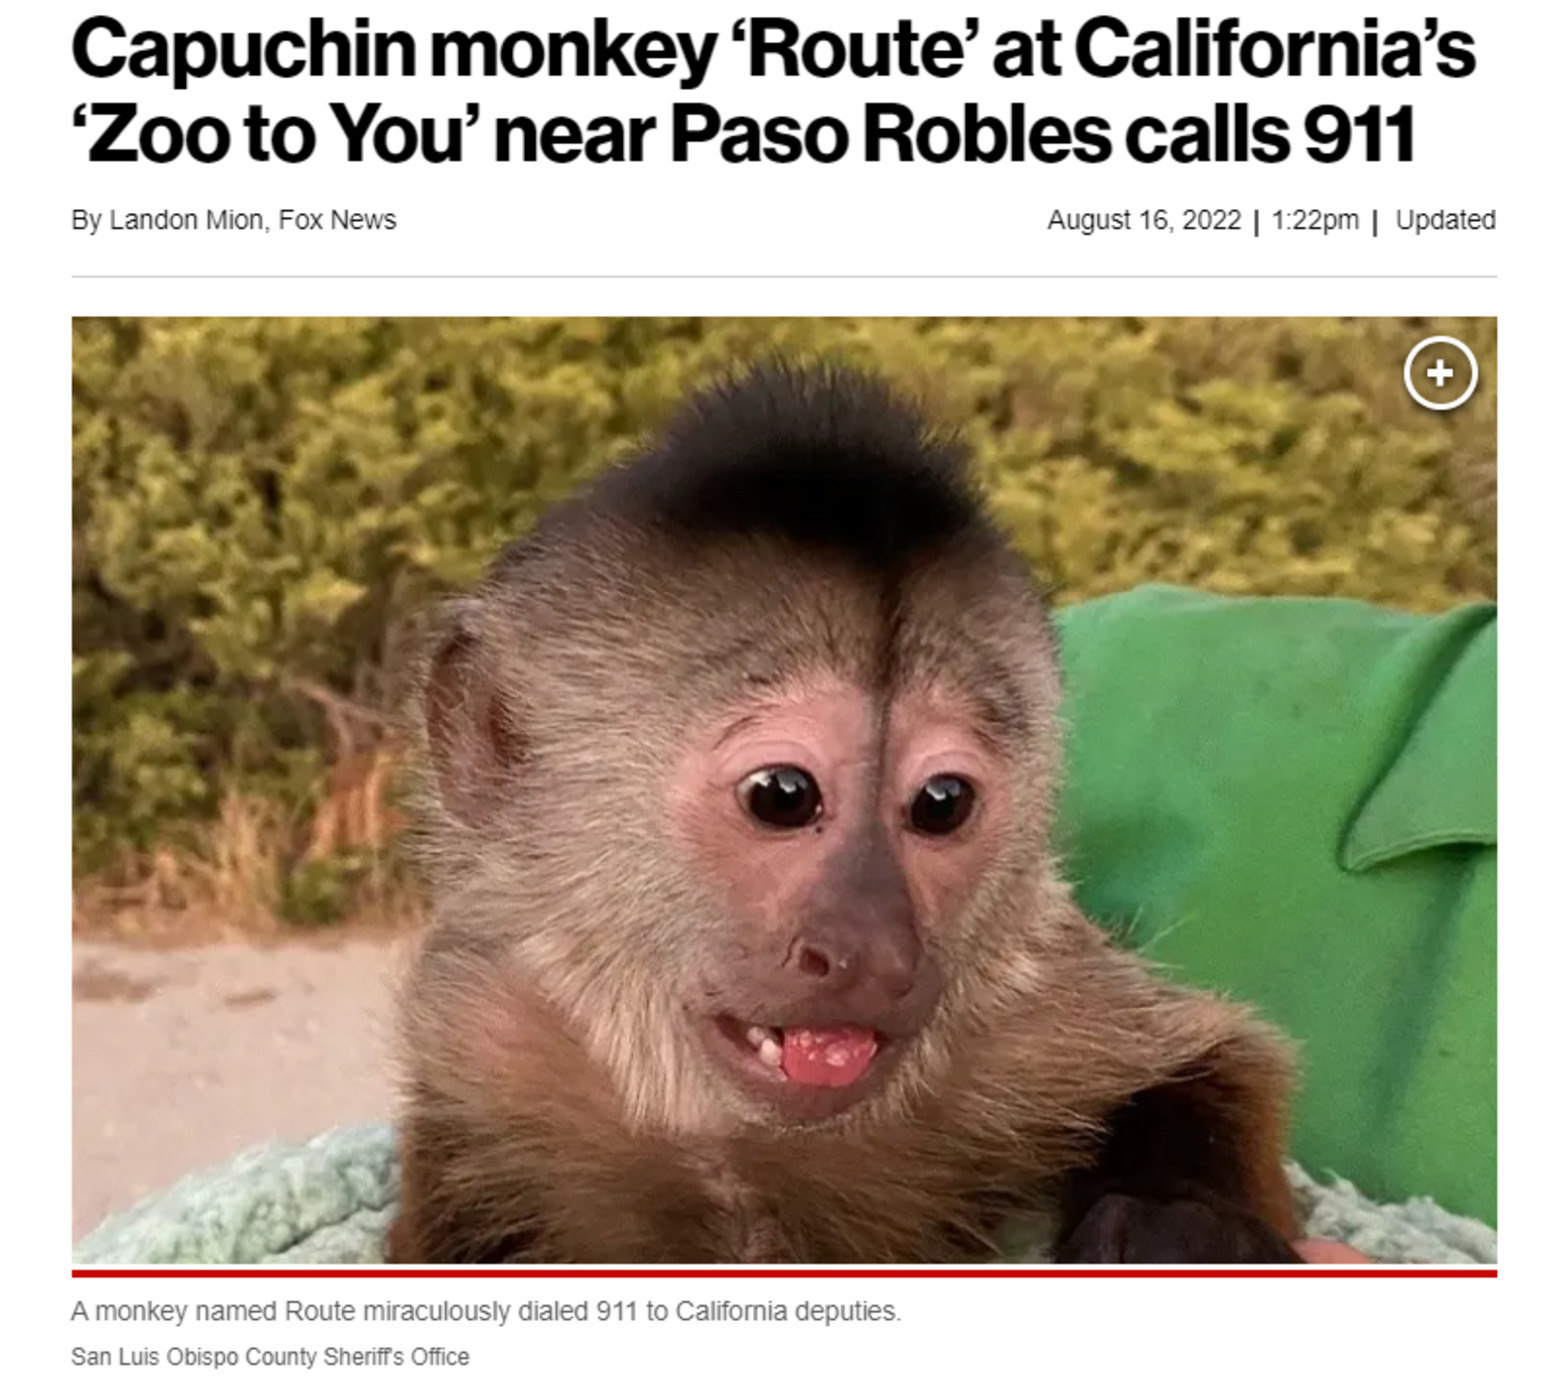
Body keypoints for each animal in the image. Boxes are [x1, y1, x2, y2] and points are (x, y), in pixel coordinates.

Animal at [387, 361, 1302, 1265]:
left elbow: (1220, 1055)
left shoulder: (1034, 1008)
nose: (876, 952)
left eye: (942, 804)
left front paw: (1177, 1220)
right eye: (782, 796)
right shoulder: (487, 1036)